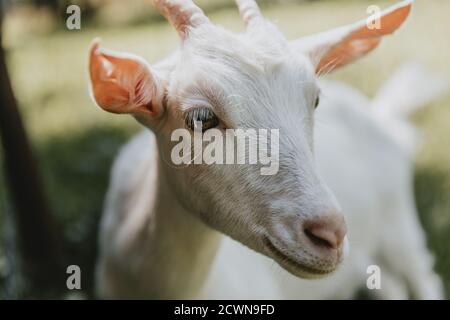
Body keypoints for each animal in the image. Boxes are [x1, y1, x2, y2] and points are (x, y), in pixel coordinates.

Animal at [87, 0, 440, 300]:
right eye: (201, 118)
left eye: (315, 100)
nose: (331, 235)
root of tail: (380, 115)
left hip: (399, 222)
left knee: (424, 277)